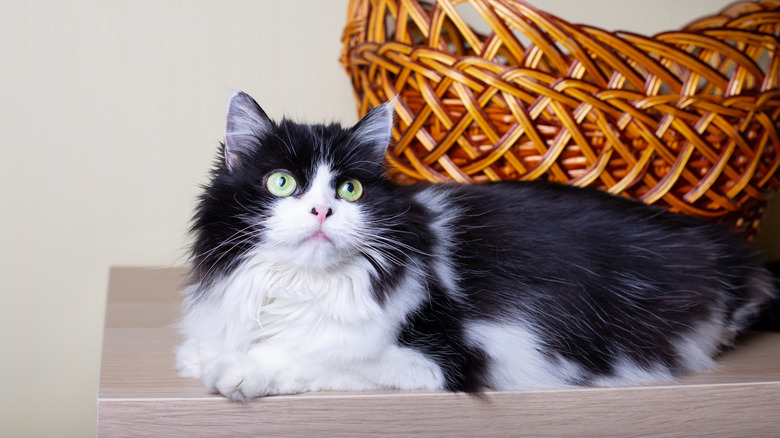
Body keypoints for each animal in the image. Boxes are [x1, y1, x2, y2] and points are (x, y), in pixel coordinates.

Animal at [174, 91, 776, 400]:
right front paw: (204, 354)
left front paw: (240, 369)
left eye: (350, 189)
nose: (322, 210)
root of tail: (721, 244)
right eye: (281, 182)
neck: (299, 288)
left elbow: (323, 354)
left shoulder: (442, 358)